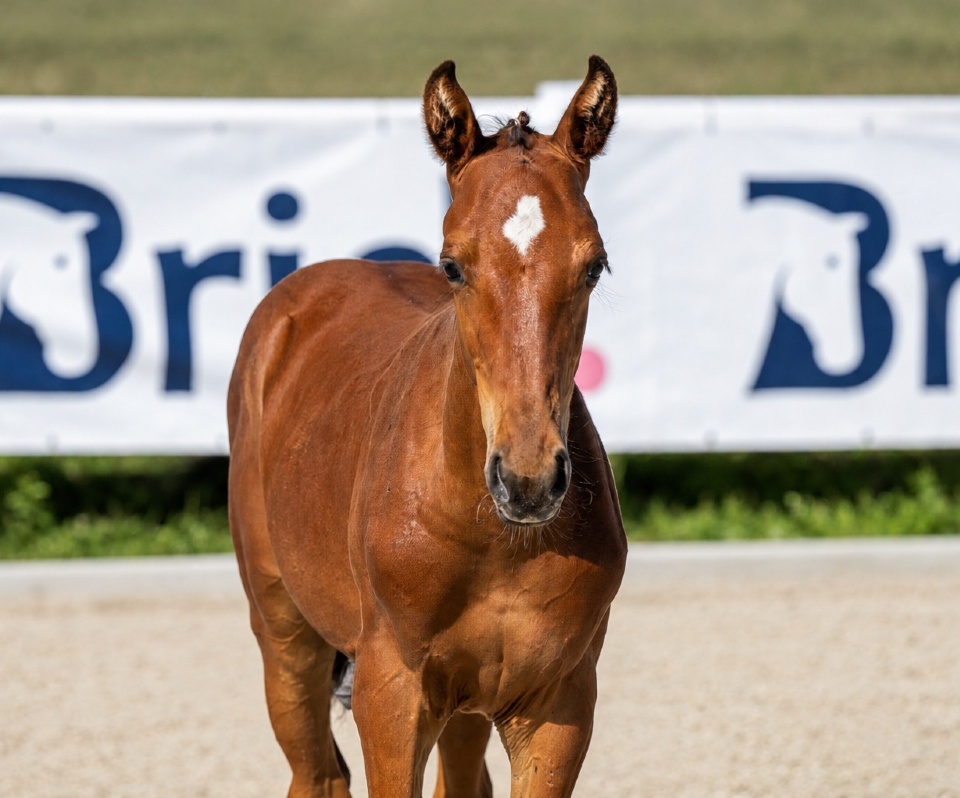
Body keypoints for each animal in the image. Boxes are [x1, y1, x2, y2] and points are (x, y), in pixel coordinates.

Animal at [228, 56, 627, 798]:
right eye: (452, 265)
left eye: (593, 266)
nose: (529, 480)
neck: (491, 537)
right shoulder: (391, 694)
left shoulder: (558, 704)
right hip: (284, 633)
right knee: (316, 771)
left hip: (468, 702)